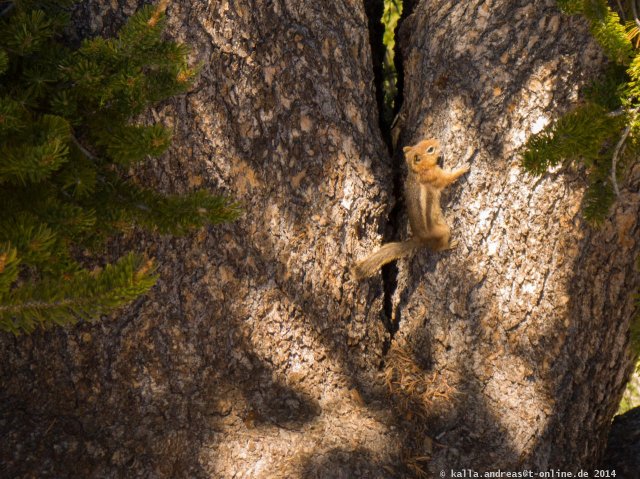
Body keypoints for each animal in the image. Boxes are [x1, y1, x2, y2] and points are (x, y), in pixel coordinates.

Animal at [352, 138, 468, 282]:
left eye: (424, 141)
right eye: (430, 149)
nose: (437, 139)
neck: (417, 171)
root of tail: (418, 238)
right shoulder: (436, 176)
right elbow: (449, 178)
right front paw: (463, 167)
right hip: (443, 230)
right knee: (437, 248)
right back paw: (449, 244)